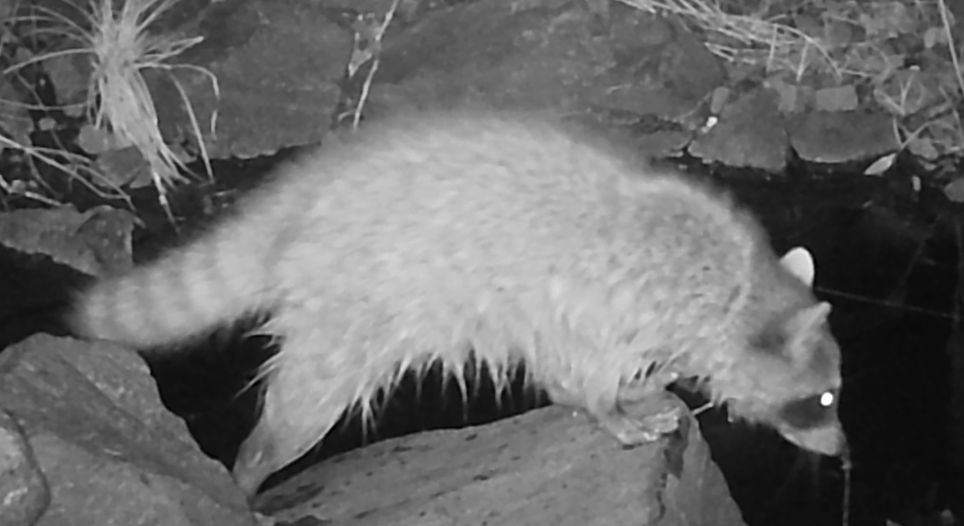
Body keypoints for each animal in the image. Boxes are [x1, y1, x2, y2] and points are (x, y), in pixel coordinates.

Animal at [68, 109, 845, 496]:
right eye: (827, 399)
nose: (841, 454)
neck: (741, 291)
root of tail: (306, 193)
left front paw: (646, 386)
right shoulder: (603, 293)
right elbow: (582, 368)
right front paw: (611, 409)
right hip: (349, 304)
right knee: (301, 406)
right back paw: (251, 472)